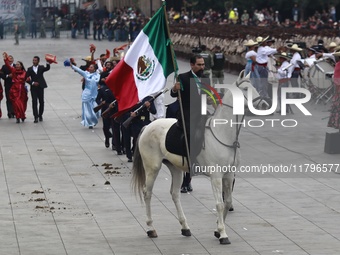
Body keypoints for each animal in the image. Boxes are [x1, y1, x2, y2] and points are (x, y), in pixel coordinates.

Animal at [132, 70, 262, 244]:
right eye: (246, 89)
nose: (264, 104)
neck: (223, 133)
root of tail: (147, 126)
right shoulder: (216, 176)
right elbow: (219, 204)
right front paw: (223, 234)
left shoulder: (229, 174)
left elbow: (227, 202)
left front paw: (217, 230)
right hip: (152, 167)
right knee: (147, 192)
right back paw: (151, 228)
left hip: (175, 168)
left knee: (174, 194)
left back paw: (185, 227)